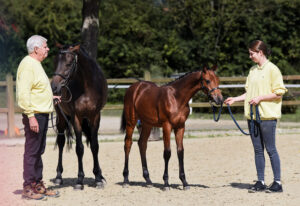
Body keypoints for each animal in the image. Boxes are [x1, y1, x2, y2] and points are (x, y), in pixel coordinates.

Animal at [51, 44, 108, 189]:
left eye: (69, 63)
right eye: (55, 61)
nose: (54, 87)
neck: (87, 87)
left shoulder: (95, 116)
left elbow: (94, 146)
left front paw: (98, 178)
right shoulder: (76, 117)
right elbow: (79, 148)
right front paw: (79, 180)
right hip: (61, 118)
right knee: (61, 142)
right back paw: (58, 177)